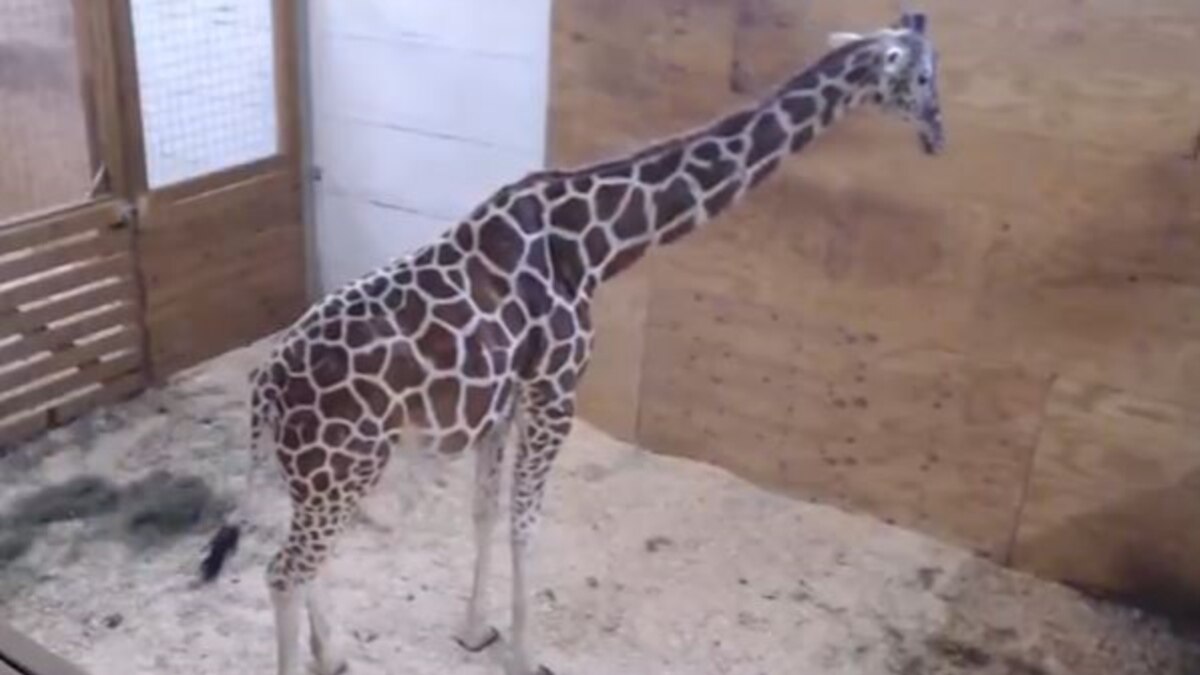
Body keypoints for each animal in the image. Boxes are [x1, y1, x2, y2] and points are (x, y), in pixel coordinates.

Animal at [197, 12, 944, 675]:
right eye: (923, 77)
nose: (939, 134)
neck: (594, 244)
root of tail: (265, 382)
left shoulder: (504, 400)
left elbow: (484, 512)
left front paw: (475, 629)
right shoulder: (557, 389)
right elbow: (526, 523)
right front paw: (527, 654)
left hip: (327, 472)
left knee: (306, 560)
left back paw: (335, 654)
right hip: (341, 466)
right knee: (282, 571)